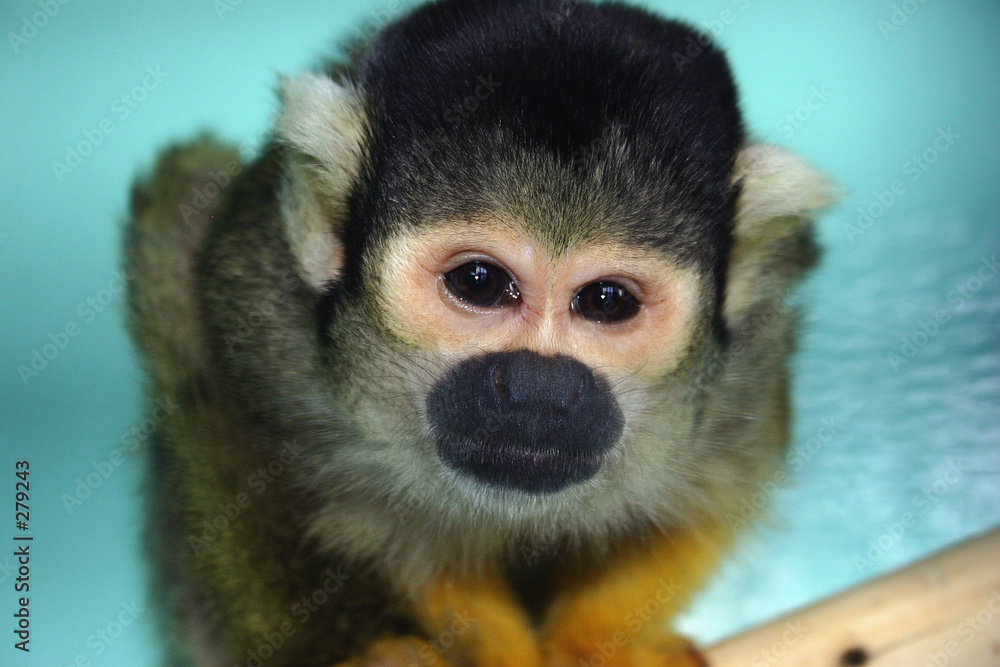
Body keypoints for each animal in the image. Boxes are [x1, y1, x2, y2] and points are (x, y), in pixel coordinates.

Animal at [124, 1, 834, 665]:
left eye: (607, 301)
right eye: (479, 282)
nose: (537, 390)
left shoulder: (747, 368)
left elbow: (719, 487)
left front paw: (595, 645)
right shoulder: (260, 307)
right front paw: (366, 650)